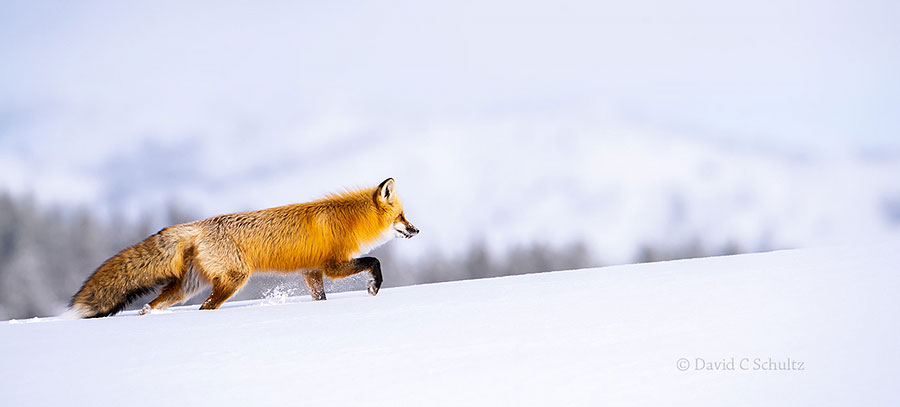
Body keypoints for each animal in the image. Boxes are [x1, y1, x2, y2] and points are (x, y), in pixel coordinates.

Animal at [66, 178, 418, 318]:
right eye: (402, 216)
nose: (417, 230)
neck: (349, 220)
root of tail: (198, 224)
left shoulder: (312, 272)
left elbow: (320, 298)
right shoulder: (332, 265)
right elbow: (375, 261)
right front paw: (374, 288)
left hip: (187, 287)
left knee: (152, 306)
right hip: (233, 280)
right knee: (205, 309)